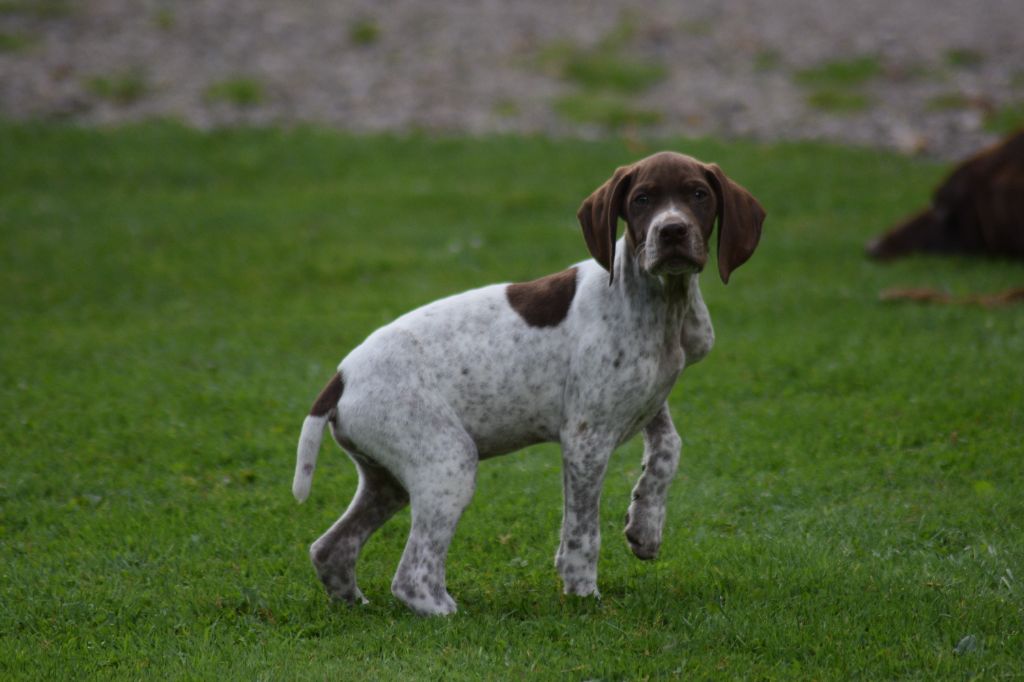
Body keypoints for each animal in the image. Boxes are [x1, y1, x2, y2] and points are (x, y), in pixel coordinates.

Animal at [292, 151, 765, 614]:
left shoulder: (648, 399)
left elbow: (668, 449)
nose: (672, 231)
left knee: (330, 548)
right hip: (447, 462)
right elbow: (582, 531)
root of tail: (342, 377)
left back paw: (354, 602)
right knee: (412, 576)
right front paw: (582, 594)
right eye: (642, 200)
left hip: (387, 480)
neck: (659, 301)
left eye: (699, 195)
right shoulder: (585, 438)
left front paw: (644, 527)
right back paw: (452, 614)